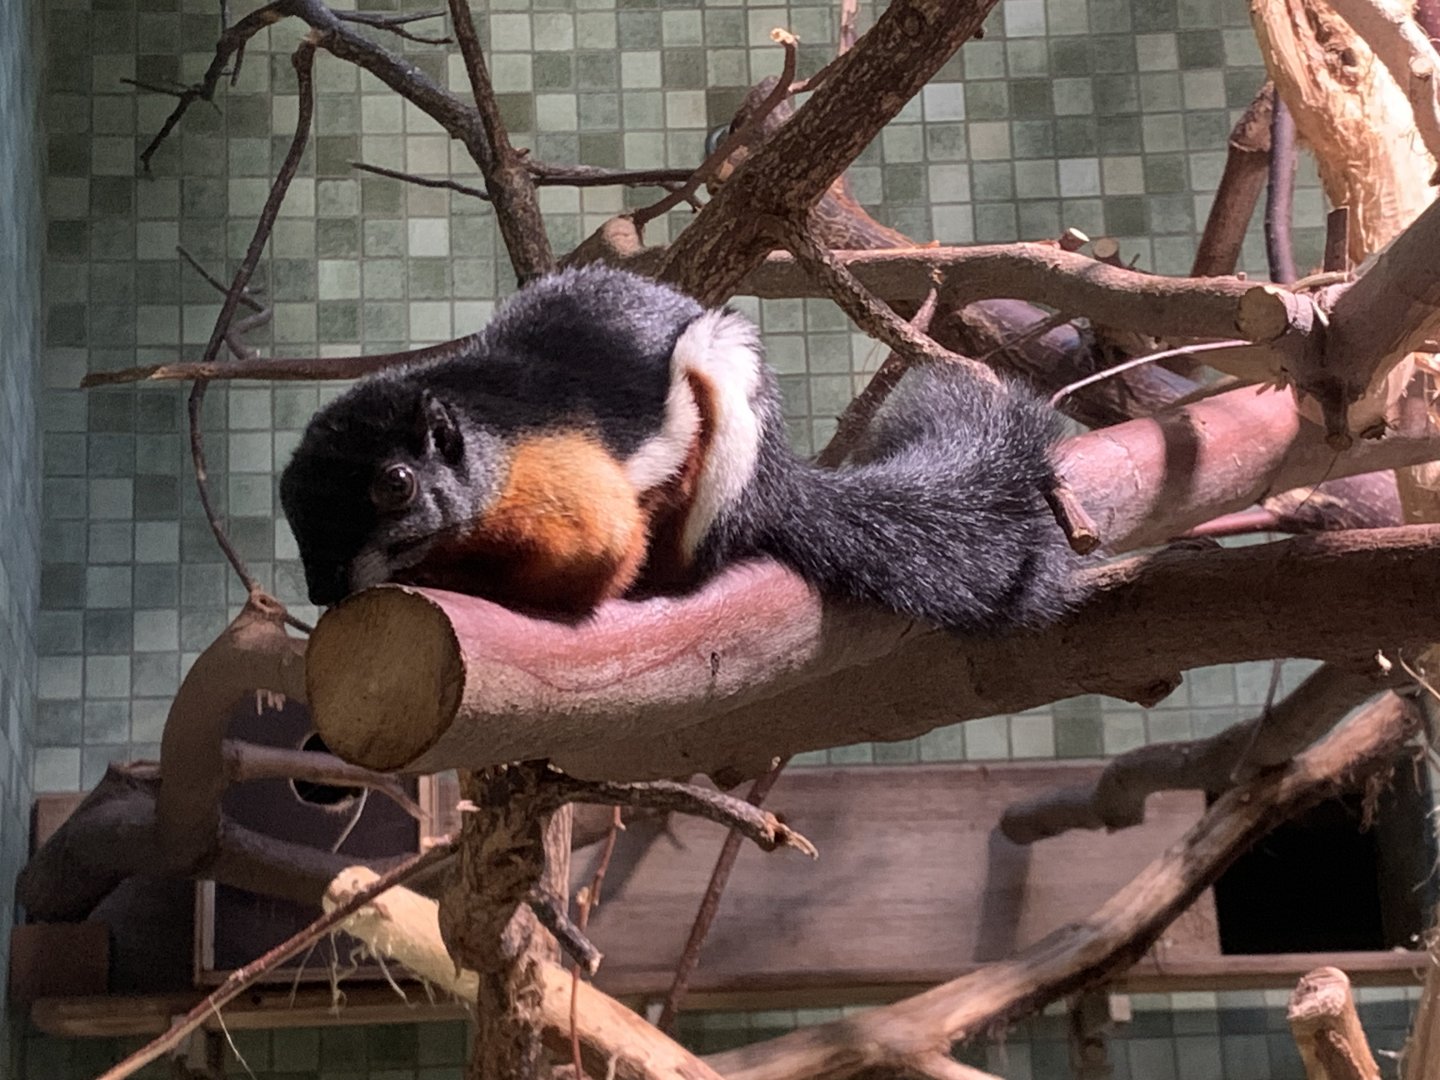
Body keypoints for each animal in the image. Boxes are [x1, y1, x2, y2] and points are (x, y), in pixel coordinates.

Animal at [279, 264, 1078, 632]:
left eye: (396, 483)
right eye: (290, 505)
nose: (321, 590)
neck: (490, 447)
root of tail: (780, 487)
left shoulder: (571, 494)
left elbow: (588, 563)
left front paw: (451, 578)